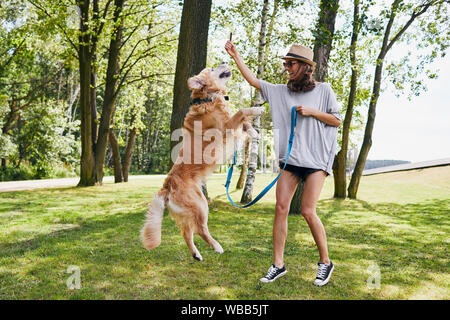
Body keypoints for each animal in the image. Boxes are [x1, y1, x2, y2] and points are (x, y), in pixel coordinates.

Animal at [141, 62, 264, 260]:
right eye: (212, 68)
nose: (224, 61)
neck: (208, 98)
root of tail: (167, 185)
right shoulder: (226, 126)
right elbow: (241, 112)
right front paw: (257, 110)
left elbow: (244, 122)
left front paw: (253, 132)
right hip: (200, 205)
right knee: (200, 229)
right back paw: (216, 246)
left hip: (191, 209)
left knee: (186, 232)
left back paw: (196, 254)